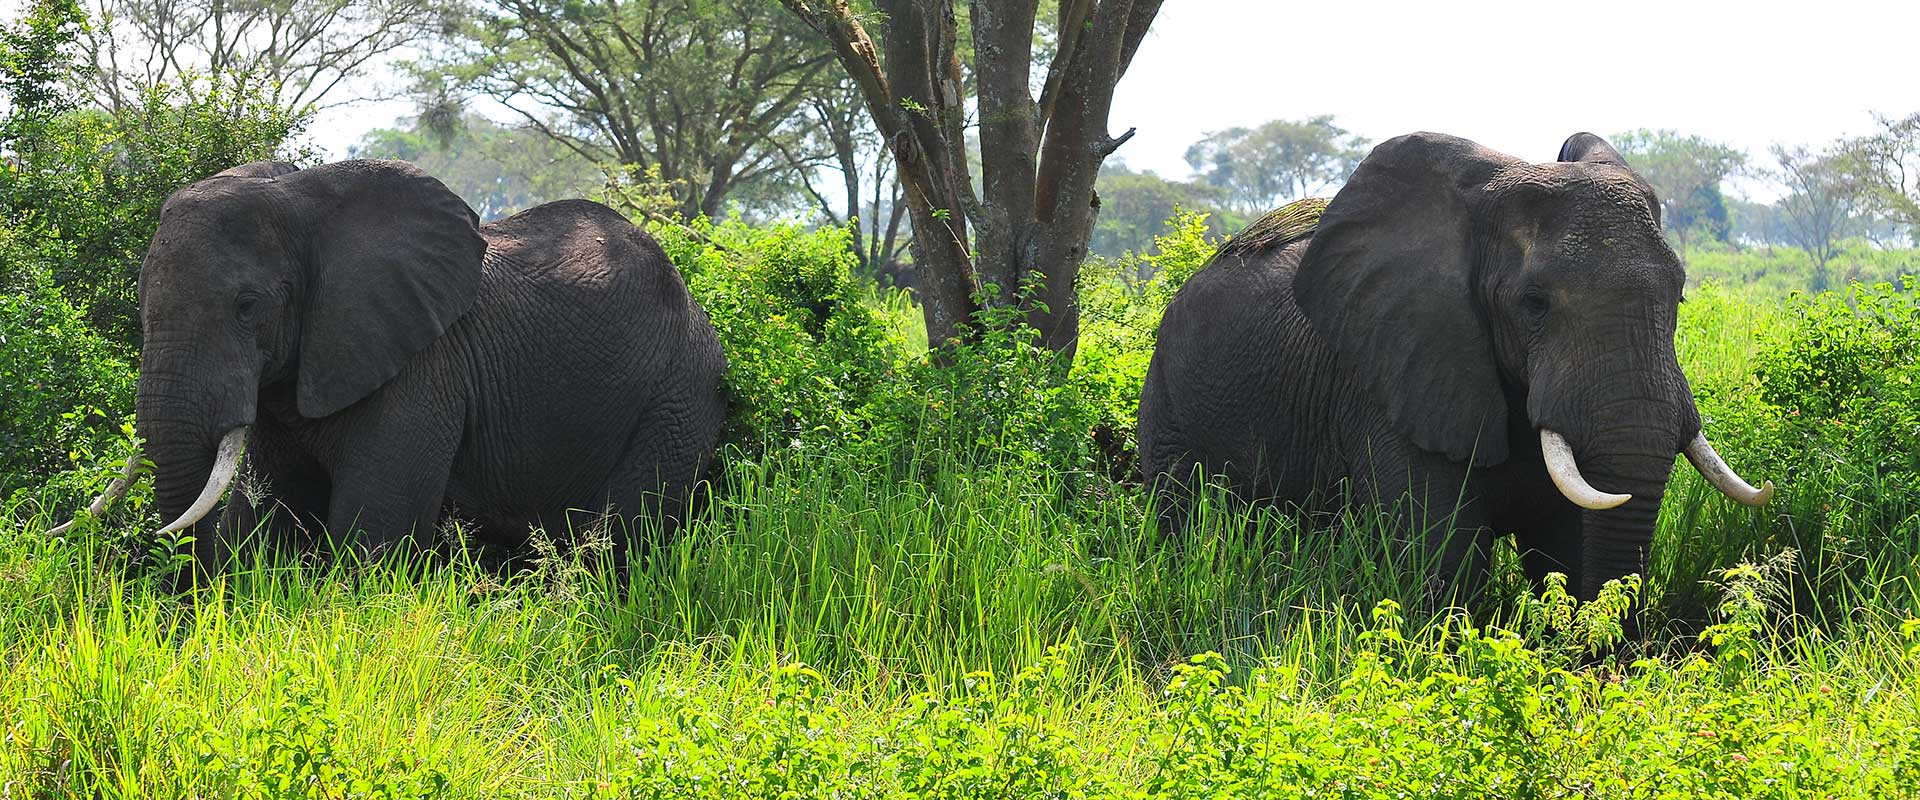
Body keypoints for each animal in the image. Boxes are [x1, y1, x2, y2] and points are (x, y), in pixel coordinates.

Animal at [55, 159, 727, 576]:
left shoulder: (423, 368)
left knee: (618, 535)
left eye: (248, 307)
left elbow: (372, 531)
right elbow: (274, 514)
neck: (303, 201)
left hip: (680, 394)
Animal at [1136, 131, 1772, 600]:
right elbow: (1443, 560)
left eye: (1679, 297)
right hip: (1169, 406)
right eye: (1534, 304)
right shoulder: (1390, 379)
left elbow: (1565, 547)